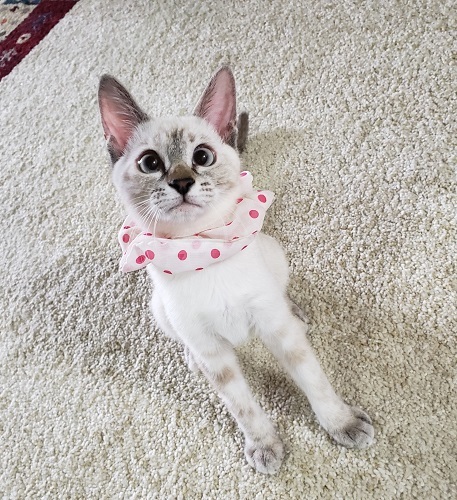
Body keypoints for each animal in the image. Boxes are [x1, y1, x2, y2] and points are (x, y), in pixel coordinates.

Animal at [98, 66, 374, 474]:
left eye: (202, 156)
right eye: (150, 164)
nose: (182, 182)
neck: (200, 248)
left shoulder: (277, 330)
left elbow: (314, 379)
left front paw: (342, 424)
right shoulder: (215, 354)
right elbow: (243, 406)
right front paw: (264, 446)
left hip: (275, 256)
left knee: (284, 299)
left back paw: (296, 312)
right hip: (160, 312)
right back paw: (191, 360)